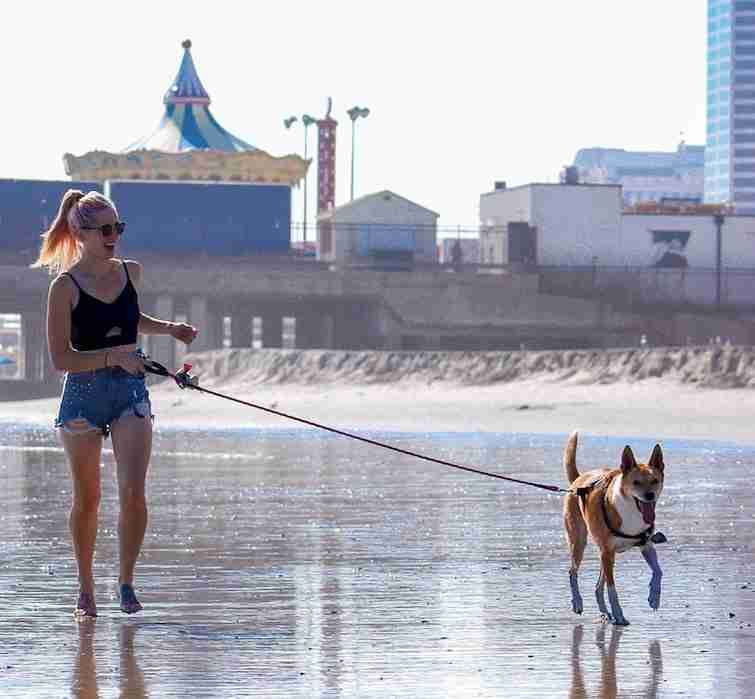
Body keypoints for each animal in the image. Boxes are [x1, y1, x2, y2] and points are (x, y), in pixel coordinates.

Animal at [564, 432, 664, 624]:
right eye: (636, 482)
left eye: (655, 481)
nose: (649, 495)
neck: (631, 510)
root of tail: (578, 480)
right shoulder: (607, 551)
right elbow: (612, 589)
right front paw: (619, 613)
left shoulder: (646, 545)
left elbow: (659, 571)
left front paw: (654, 597)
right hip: (580, 541)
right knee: (573, 571)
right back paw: (578, 603)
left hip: (606, 556)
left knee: (597, 586)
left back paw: (604, 613)